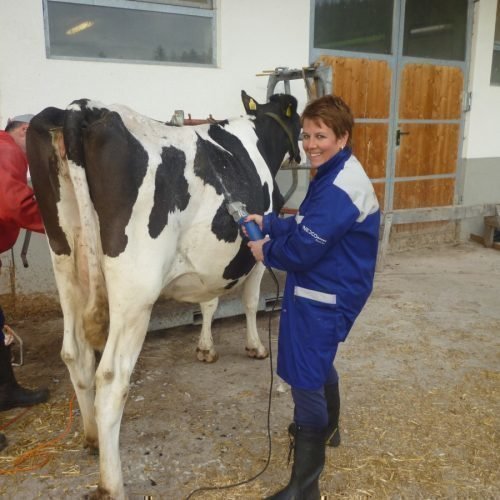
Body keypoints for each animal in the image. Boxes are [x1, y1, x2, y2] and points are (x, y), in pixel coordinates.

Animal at [27, 92, 298, 498]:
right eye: (298, 121)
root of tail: (81, 108)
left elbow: (209, 301)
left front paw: (205, 348)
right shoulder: (255, 250)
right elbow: (249, 301)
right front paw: (255, 346)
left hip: (65, 264)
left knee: (75, 353)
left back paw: (92, 439)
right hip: (134, 291)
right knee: (112, 378)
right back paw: (112, 483)